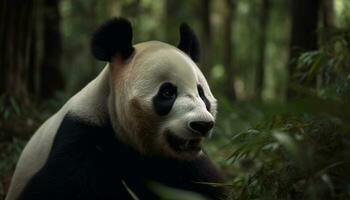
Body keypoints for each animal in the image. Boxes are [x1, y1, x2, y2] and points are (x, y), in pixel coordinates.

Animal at [6, 17, 230, 200]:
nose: (202, 124)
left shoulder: (185, 164)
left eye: (201, 93)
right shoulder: (82, 138)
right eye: (167, 92)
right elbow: (56, 186)